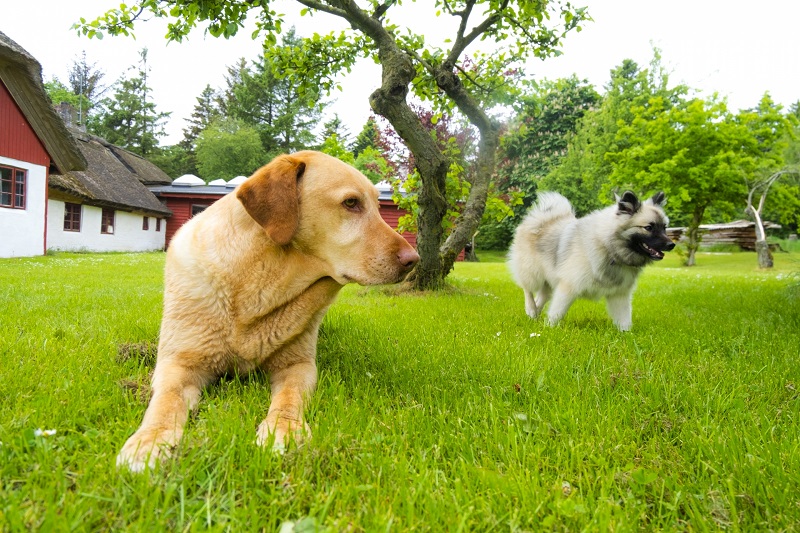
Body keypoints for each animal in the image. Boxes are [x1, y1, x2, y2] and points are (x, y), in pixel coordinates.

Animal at [118, 150, 422, 470]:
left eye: (377, 205)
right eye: (351, 203)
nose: (413, 260)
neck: (255, 287)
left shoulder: (298, 365)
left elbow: (289, 398)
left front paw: (283, 429)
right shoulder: (178, 364)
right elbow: (166, 401)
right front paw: (150, 440)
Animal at [506, 191, 676, 330]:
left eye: (664, 227)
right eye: (649, 227)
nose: (671, 244)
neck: (609, 247)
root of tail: (542, 218)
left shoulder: (619, 295)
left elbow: (624, 320)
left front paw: (627, 336)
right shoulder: (568, 287)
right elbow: (556, 313)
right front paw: (549, 329)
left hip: (549, 280)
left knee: (541, 297)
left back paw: (535, 314)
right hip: (532, 273)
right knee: (527, 289)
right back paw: (531, 309)